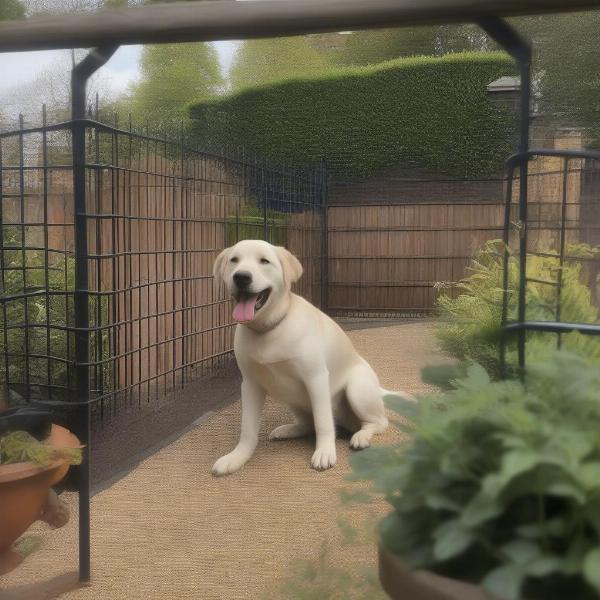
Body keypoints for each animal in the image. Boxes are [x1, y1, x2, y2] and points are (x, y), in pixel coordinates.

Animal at [209, 238, 410, 474]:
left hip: (357, 389)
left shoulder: (316, 377)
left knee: (377, 422)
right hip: (293, 397)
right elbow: (248, 429)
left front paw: (324, 452)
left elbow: (323, 422)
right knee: (308, 424)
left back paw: (361, 436)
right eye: (234, 260)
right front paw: (237, 457)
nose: (241, 277)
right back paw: (288, 430)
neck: (269, 328)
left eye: (264, 261)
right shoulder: (250, 384)